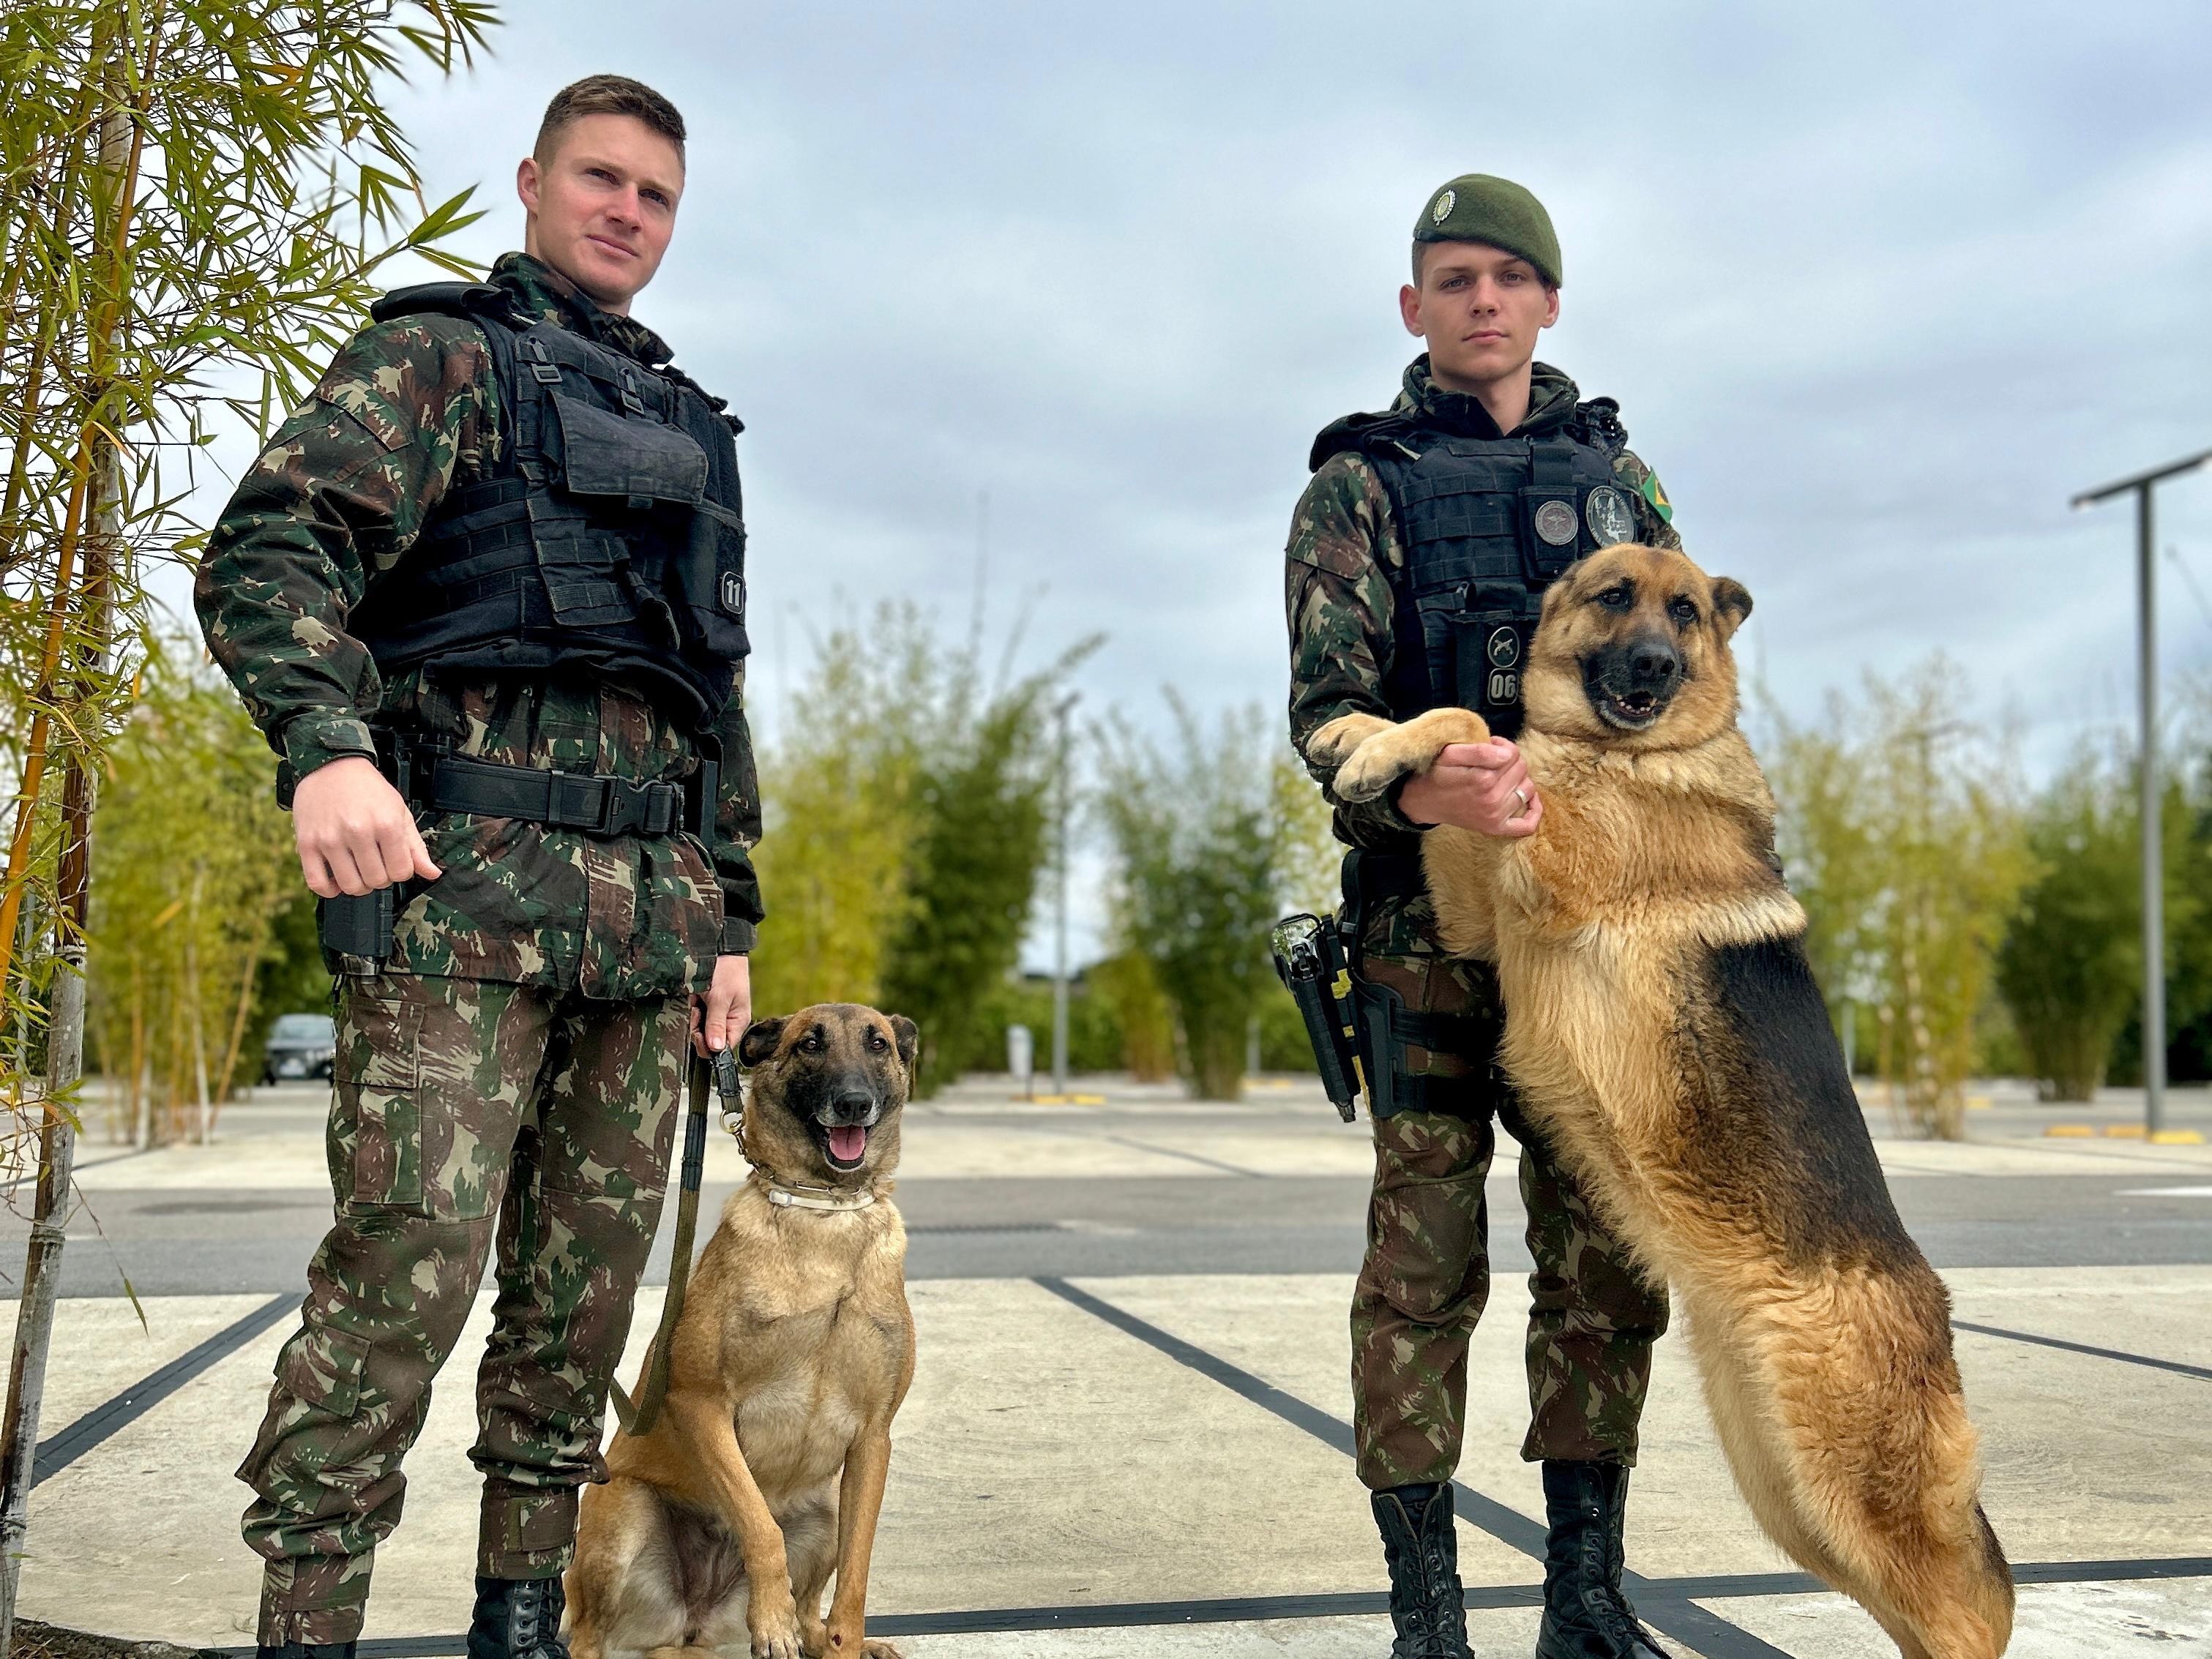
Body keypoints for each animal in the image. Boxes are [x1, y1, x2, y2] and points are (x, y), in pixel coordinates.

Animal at [570, 1000, 924, 1659]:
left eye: (879, 1044)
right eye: (810, 1043)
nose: (854, 1102)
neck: (825, 1215)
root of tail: (693, 1629)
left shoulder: (874, 1439)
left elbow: (856, 1575)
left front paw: (845, 1639)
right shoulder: (702, 1404)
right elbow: (758, 1524)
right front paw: (771, 1619)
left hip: (823, 1516)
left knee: (814, 1609)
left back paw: (837, 1640)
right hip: (625, 1509)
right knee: (588, 1632)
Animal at [1309, 546, 2026, 1659]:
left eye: (1683, 612)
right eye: (1613, 596)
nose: (1651, 664)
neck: (1633, 756)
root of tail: (1928, 1305)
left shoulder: (1552, 857)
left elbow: (1485, 732)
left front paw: (1389, 744)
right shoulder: (1477, 904)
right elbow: (1471, 748)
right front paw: (1363, 737)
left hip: (1853, 1495)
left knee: (1966, 1609)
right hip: (1792, 1497)